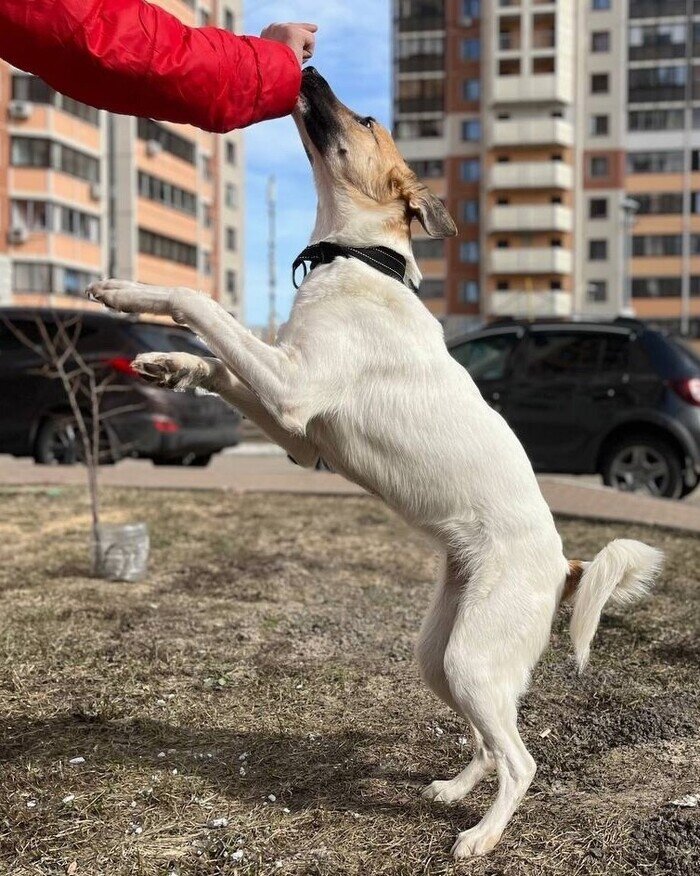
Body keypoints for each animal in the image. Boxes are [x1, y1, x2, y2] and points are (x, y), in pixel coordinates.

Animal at [87, 70, 660, 864]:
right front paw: (168, 363)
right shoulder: (296, 428)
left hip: (471, 660)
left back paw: (481, 834)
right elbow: (218, 360)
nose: (306, 68)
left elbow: (200, 302)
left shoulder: (293, 391)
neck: (359, 262)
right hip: (438, 656)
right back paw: (455, 788)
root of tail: (566, 563)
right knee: (489, 741)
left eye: (363, 118)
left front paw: (130, 294)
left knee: (520, 758)